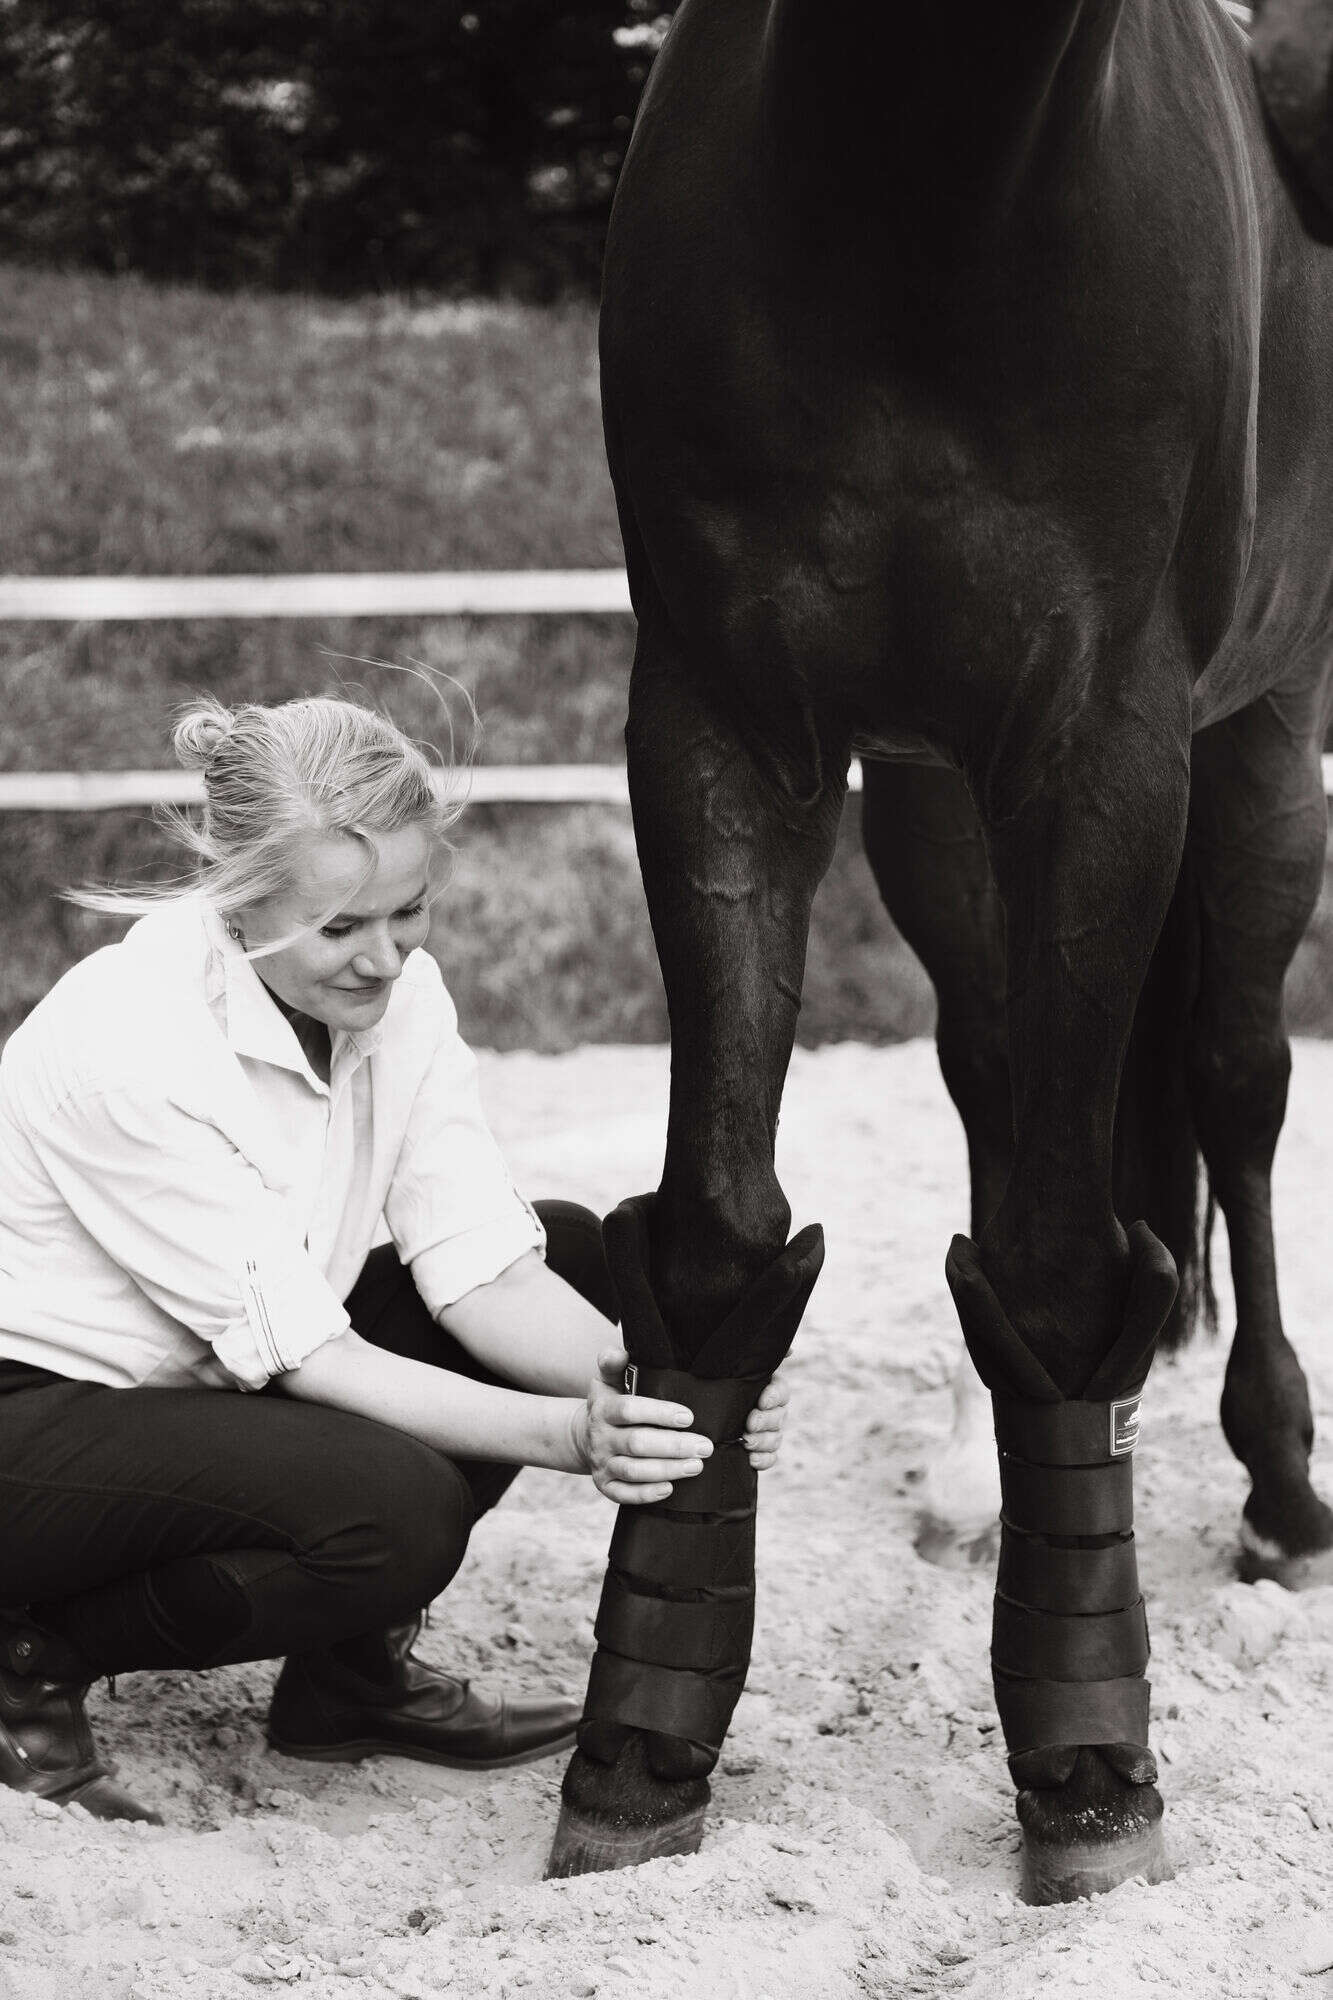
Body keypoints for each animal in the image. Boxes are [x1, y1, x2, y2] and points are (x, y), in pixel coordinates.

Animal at [544, 0, 1333, 1904]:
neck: (928, 175)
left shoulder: (1107, 749)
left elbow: (1057, 1249)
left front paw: (1086, 1767)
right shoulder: (720, 720)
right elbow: (718, 1221)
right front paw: (642, 1747)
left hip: (1264, 734)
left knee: (1233, 1082)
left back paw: (1280, 1490)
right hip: (934, 801)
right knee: (999, 1077)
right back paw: (982, 1480)